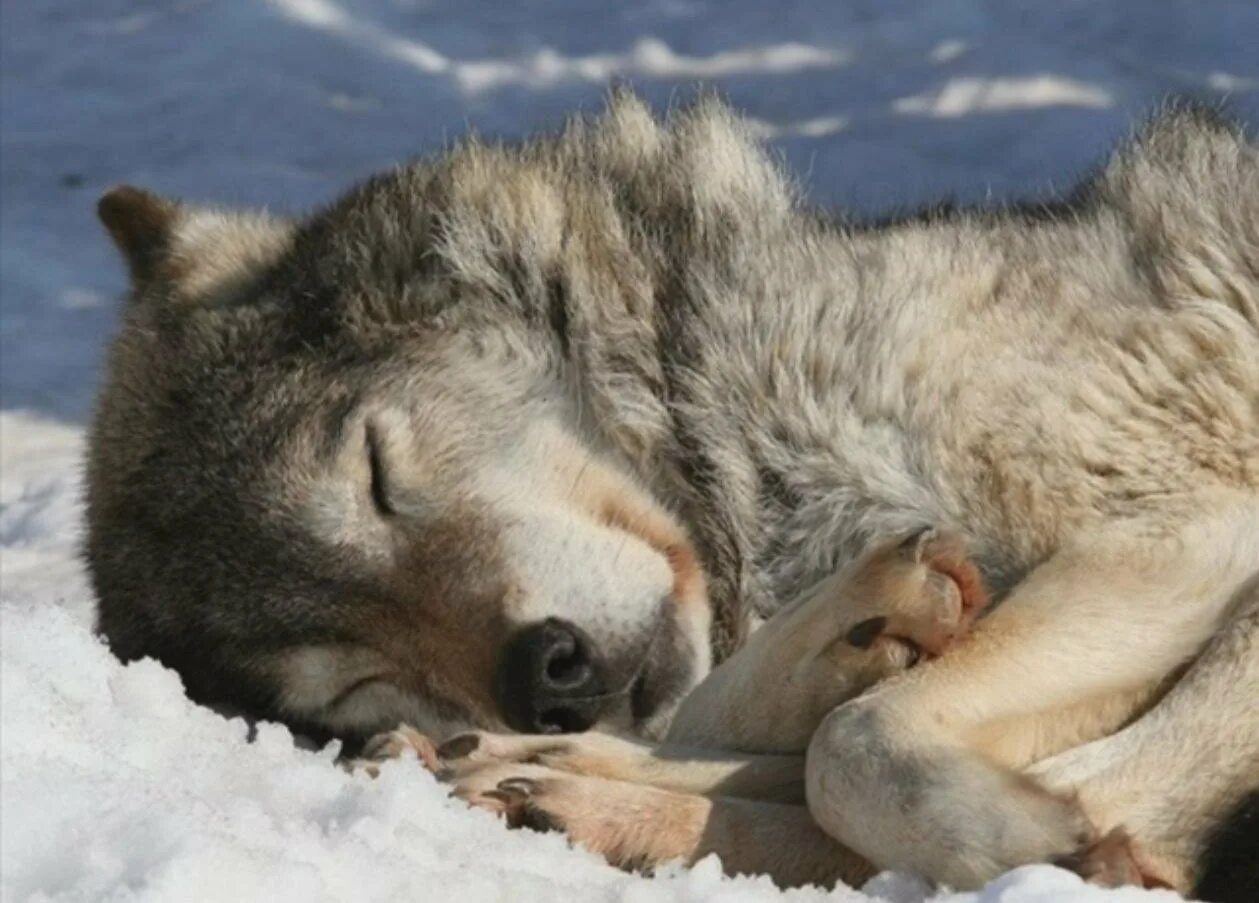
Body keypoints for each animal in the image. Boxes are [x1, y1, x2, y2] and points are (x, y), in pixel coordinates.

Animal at [88, 91, 1259, 896]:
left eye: (374, 471)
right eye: (352, 678)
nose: (543, 677)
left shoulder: (1183, 525)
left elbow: (850, 750)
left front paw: (1035, 837)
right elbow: (794, 729)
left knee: (1110, 794)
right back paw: (544, 777)